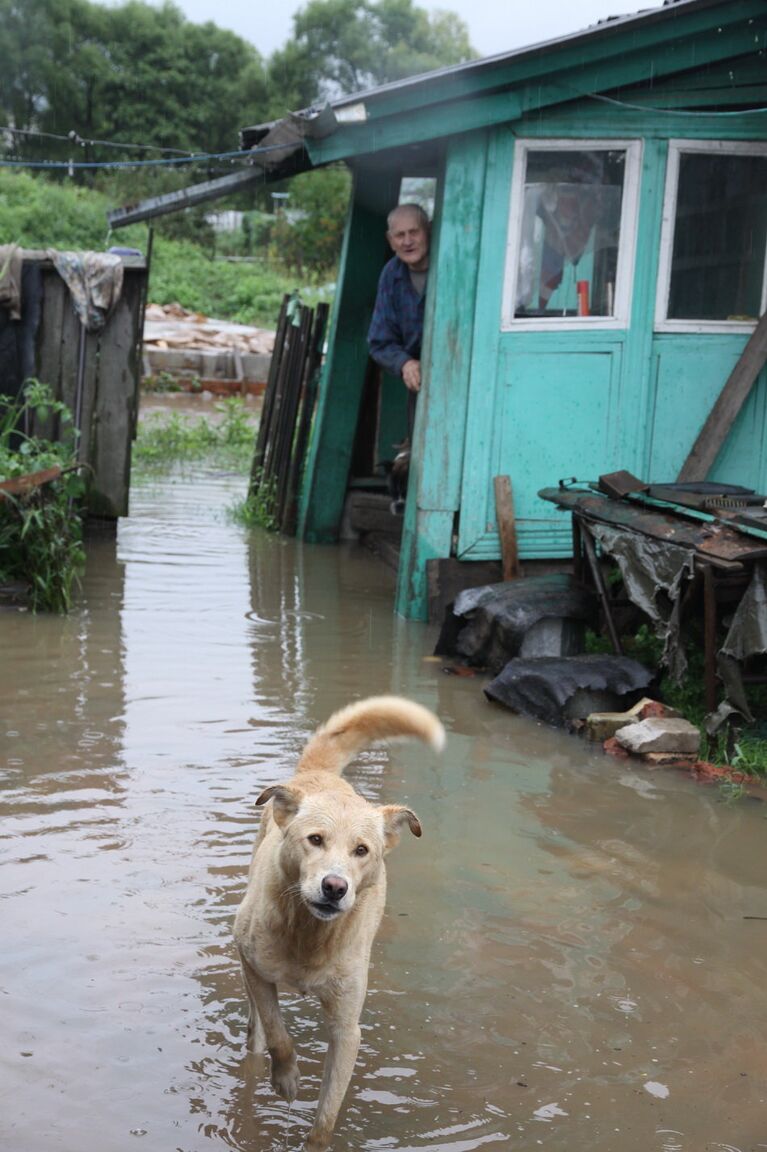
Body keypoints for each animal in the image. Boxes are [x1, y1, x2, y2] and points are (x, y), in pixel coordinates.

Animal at [232, 691, 442, 1152]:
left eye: (361, 850)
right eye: (315, 840)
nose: (334, 887)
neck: (309, 935)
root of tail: (320, 776)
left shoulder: (347, 1029)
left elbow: (326, 1118)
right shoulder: (253, 963)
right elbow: (277, 1029)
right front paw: (287, 1077)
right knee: (258, 1027)